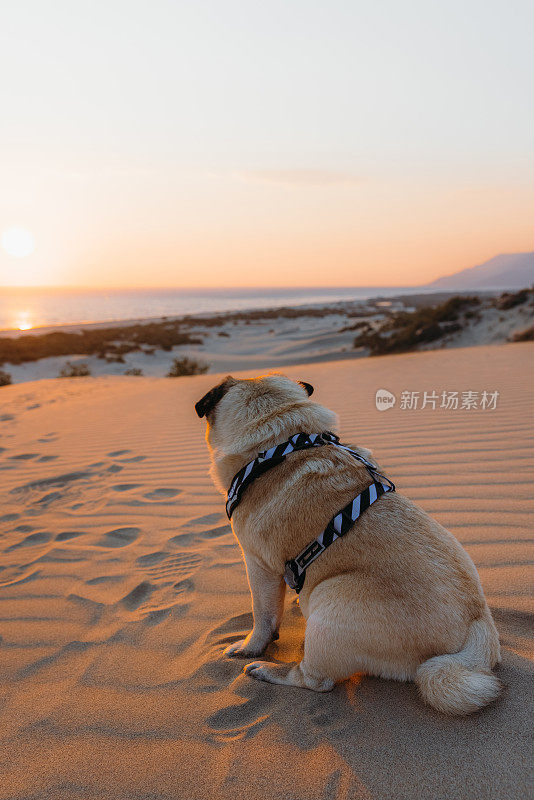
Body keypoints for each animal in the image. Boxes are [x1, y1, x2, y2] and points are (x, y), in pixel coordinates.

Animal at [196, 376, 502, 720]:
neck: (283, 439)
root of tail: (476, 629)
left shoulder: (257, 563)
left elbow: (262, 615)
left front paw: (250, 646)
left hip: (330, 603)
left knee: (315, 680)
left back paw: (267, 669)